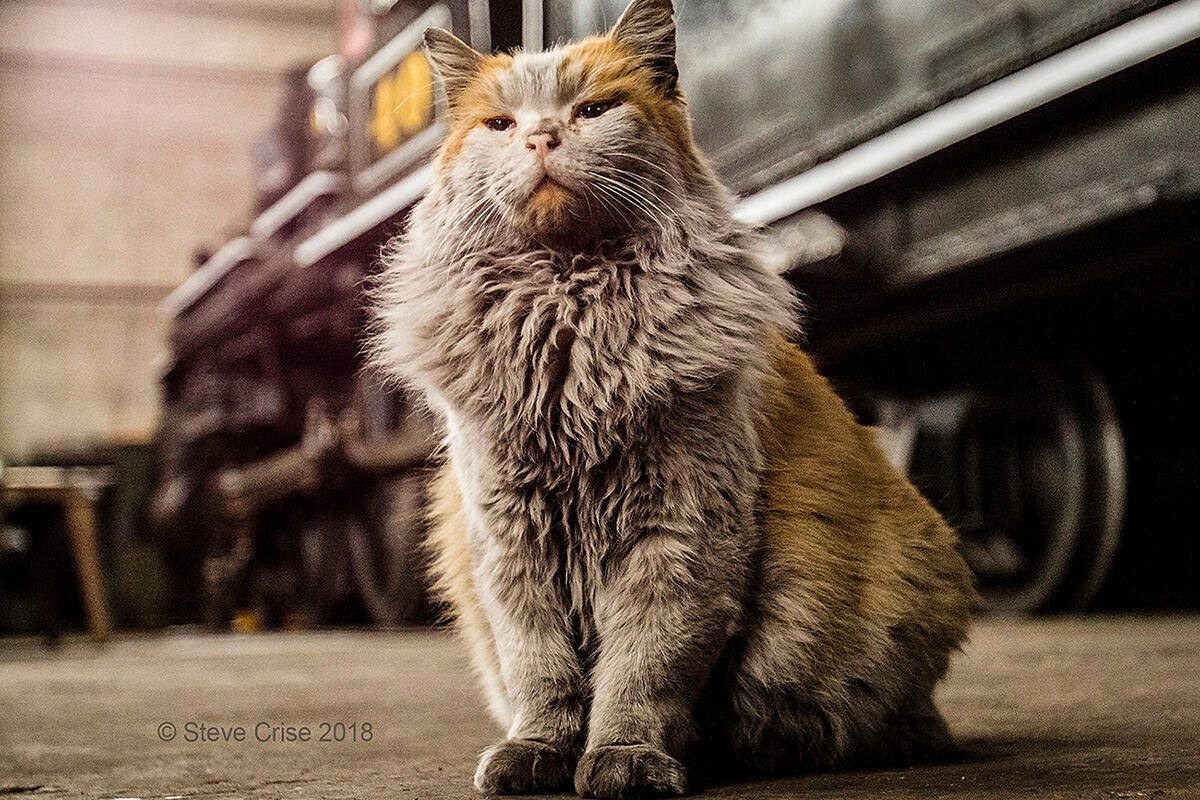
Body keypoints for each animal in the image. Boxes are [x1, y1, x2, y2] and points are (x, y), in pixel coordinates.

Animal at [369, 1, 979, 796]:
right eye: (500, 124)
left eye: (593, 110)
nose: (540, 137)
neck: (570, 317)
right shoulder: (510, 539)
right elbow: (541, 671)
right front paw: (536, 752)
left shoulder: (680, 534)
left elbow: (643, 669)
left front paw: (624, 758)